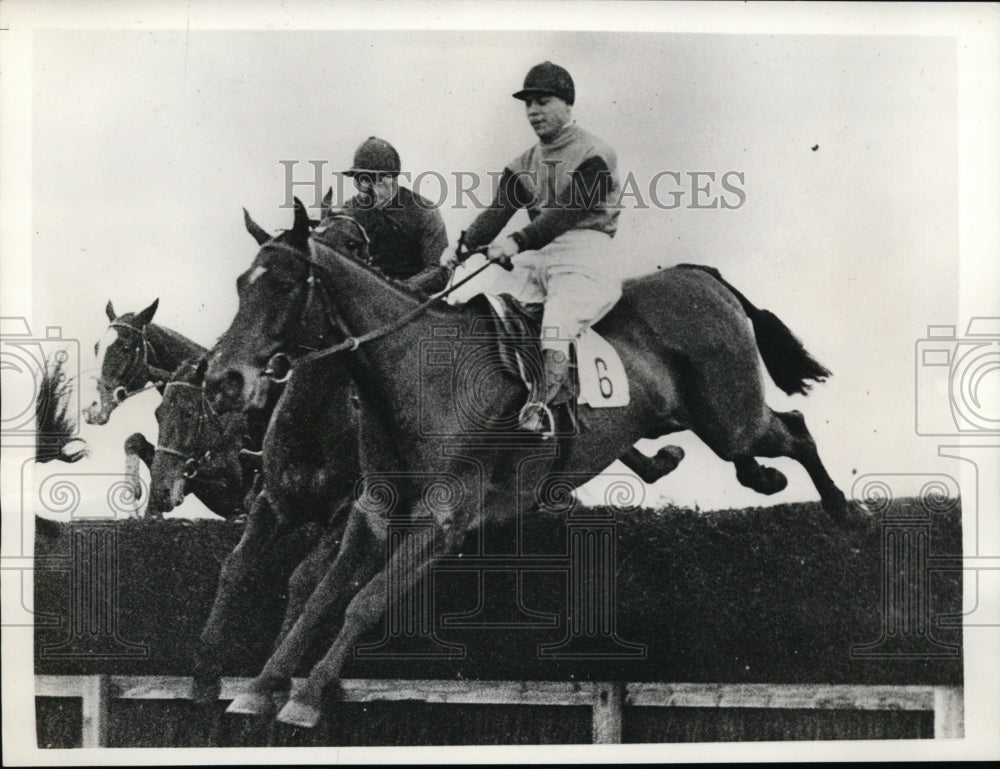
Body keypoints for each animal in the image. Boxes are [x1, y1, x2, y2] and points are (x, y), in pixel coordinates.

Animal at [205, 198, 860, 728]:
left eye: (285, 284)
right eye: (240, 283)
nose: (222, 380)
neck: (417, 375)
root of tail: (700, 276)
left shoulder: (443, 519)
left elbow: (364, 600)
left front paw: (305, 697)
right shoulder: (371, 510)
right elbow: (320, 595)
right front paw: (261, 686)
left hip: (730, 415)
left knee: (794, 429)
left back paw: (844, 513)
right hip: (691, 417)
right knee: (756, 442)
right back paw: (757, 476)